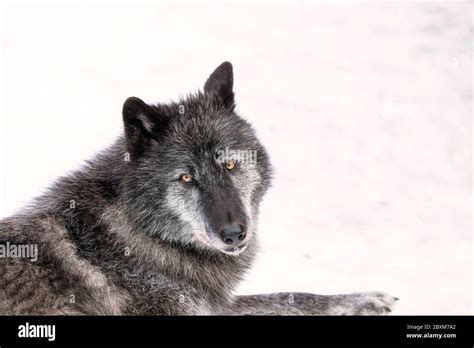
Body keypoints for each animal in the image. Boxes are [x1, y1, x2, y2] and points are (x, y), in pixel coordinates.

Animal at [0, 62, 396, 316]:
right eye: (186, 178)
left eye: (230, 164)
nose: (234, 234)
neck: (140, 234)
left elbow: (291, 296)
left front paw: (365, 300)